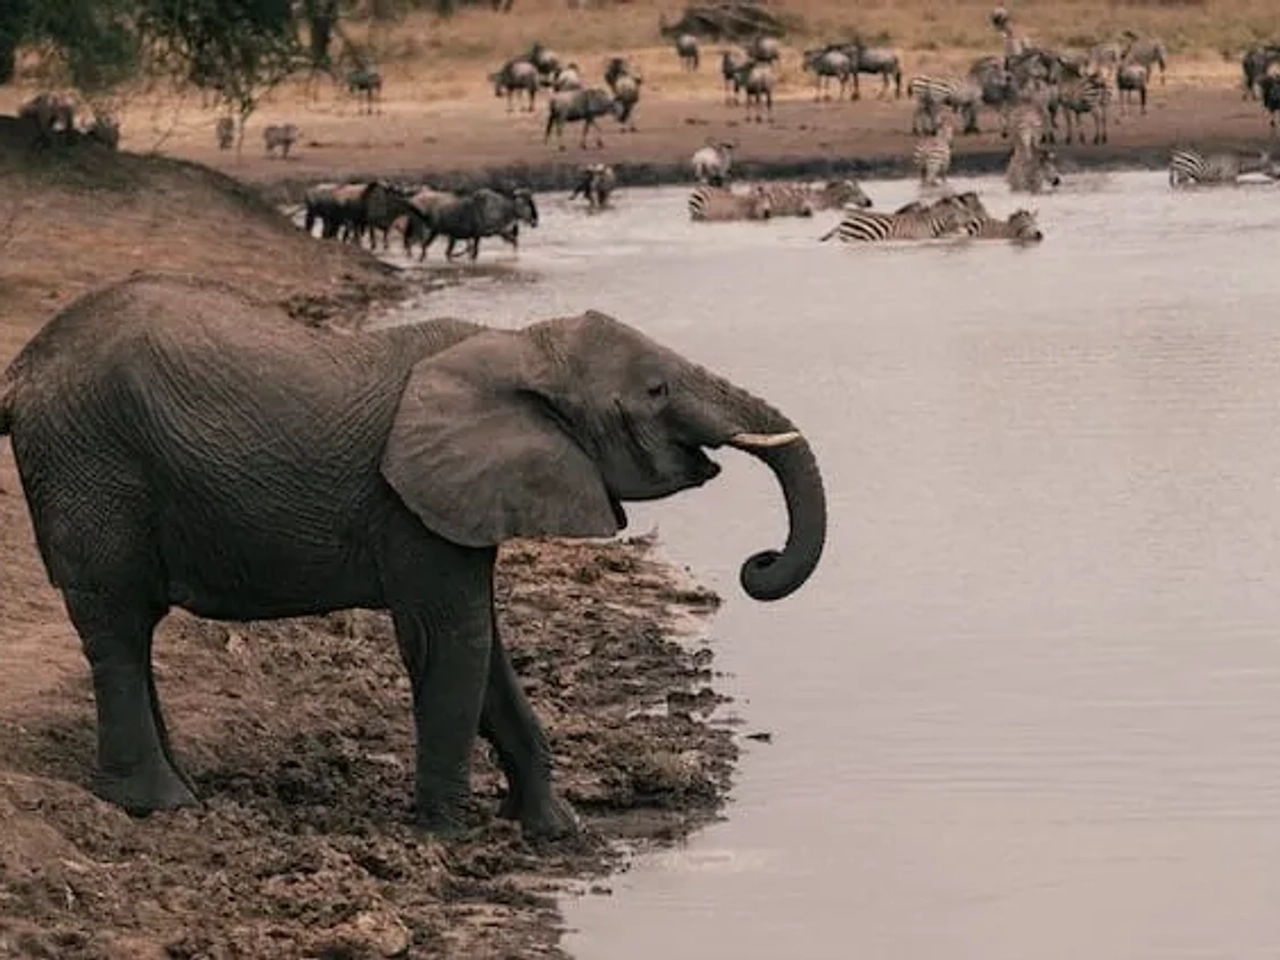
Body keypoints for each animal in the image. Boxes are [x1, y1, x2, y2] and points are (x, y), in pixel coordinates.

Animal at [0, 273, 827, 839]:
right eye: (655, 391)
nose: (757, 565)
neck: (522, 344)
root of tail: (22, 371)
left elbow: (487, 648)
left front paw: (555, 831)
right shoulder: (413, 506)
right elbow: (450, 643)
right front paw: (449, 836)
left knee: (129, 634)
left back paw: (176, 788)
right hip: (91, 465)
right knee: (117, 628)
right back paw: (162, 804)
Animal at [818, 193, 977, 243]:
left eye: (968, 211)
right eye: (964, 212)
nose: (973, 223)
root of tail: (845, 220)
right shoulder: (920, 237)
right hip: (856, 237)